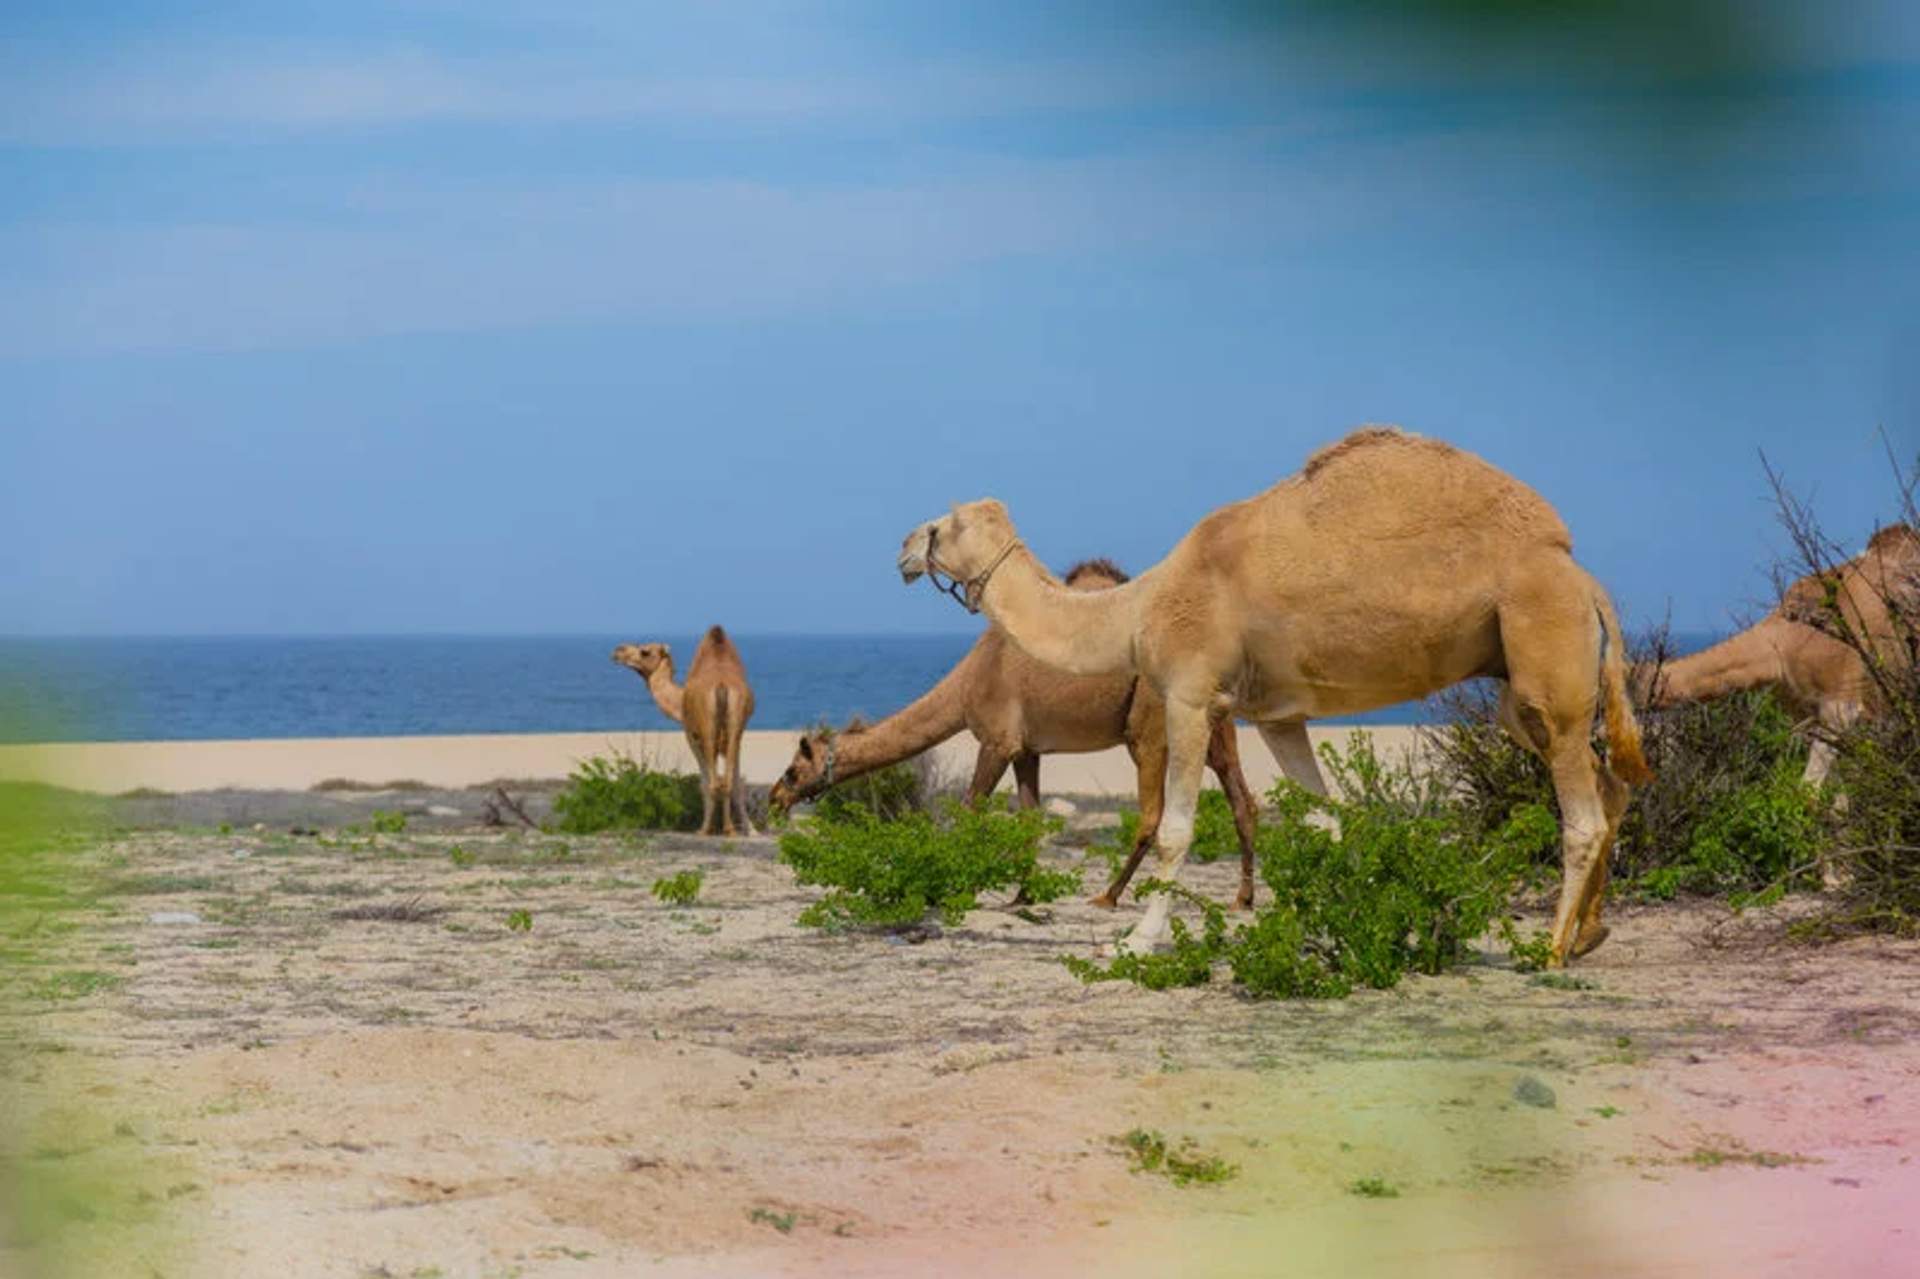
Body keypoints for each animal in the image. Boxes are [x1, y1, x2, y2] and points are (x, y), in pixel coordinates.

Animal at [612, 626, 756, 836]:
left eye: (645, 651)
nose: (618, 651)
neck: (679, 701)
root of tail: (722, 686)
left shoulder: (691, 735)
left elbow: (704, 782)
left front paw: (712, 827)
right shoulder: (736, 739)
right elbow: (735, 783)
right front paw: (750, 830)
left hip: (707, 731)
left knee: (712, 782)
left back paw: (704, 830)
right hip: (734, 726)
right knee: (727, 781)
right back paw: (728, 829)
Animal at [768, 559, 1266, 909]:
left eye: (793, 770)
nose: (774, 798)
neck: (968, 681)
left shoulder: (997, 739)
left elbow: (971, 810)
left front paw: (952, 889)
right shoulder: (1029, 748)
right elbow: (1030, 819)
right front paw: (1022, 895)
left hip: (1147, 723)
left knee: (1152, 813)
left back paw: (1108, 895)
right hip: (1214, 725)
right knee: (1242, 800)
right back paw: (1242, 900)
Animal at [897, 426, 1652, 967]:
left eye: (948, 523)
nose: (904, 545)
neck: (1139, 609)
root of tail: (1584, 579)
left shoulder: (1189, 693)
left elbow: (1174, 830)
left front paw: (1135, 939)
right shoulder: (1279, 716)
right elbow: (1325, 821)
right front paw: (1338, 927)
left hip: (1543, 639)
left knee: (1581, 814)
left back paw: (1550, 951)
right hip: (1519, 685)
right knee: (1608, 784)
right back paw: (1590, 935)